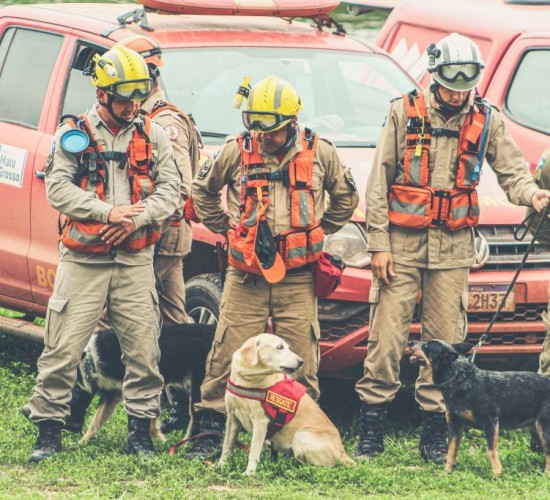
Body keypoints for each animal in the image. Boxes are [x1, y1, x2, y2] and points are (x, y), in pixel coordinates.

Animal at [71, 322, 218, 444]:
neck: (91, 359)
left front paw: (159, 440)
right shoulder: (113, 394)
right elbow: (95, 421)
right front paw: (82, 442)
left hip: (198, 389)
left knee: (196, 419)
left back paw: (185, 444)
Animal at [220, 334, 358, 474]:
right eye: (280, 347)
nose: (301, 361)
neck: (246, 380)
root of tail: (342, 452)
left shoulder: (260, 422)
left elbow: (253, 452)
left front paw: (249, 473)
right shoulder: (232, 417)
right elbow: (227, 446)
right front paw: (221, 466)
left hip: (300, 436)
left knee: (319, 467)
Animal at [408, 338, 550, 474]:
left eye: (426, 346)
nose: (410, 342)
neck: (461, 379)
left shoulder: (490, 422)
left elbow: (491, 450)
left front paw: (496, 473)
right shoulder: (455, 426)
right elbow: (451, 452)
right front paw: (446, 472)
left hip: (543, 429)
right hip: (535, 431)